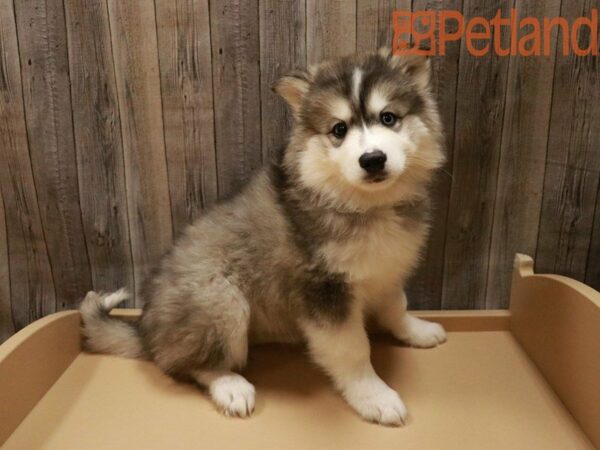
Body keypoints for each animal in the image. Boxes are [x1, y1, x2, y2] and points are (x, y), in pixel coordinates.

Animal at [79, 49, 446, 426]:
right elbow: (353, 349)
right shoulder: (323, 291)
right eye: (339, 129)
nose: (372, 160)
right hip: (221, 300)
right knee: (186, 364)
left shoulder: (387, 269)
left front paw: (417, 331)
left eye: (389, 118)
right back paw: (230, 386)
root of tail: (144, 331)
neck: (364, 205)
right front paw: (374, 395)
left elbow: (396, 306)